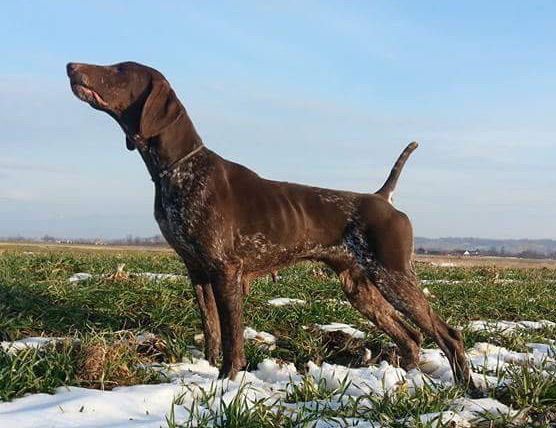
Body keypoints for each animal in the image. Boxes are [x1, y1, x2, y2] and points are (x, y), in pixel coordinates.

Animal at [65, 61, 474, 388]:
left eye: (119, 70)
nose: (71, 65)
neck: (177, 169)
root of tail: (382, 197)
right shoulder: (197, 270)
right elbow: (211, 332)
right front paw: (206, 371)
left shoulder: (226, 271)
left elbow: (232, 337)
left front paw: (227, 381)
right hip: (361, 288)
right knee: (412, 338)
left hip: (393, 277)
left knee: (448, 334)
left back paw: (466, 388)